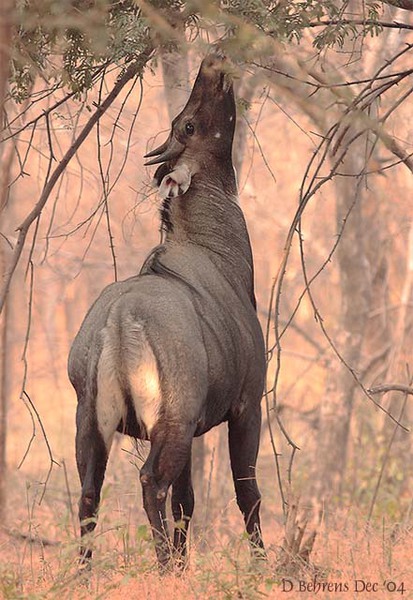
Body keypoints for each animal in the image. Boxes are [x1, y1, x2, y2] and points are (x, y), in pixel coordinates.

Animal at [68, 54, 266, 568]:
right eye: (188, 124)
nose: (213, 62)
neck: (219, 252)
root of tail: (119, 323)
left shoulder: (196, 426)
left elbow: (188, 501)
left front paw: (184, 564)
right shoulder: (247, 405)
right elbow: (247, 494)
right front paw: (267, 565)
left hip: (91, 419)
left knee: (89, 491)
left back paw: (82, 574)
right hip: (171, 418)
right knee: (150, 481)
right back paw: (159, 568)